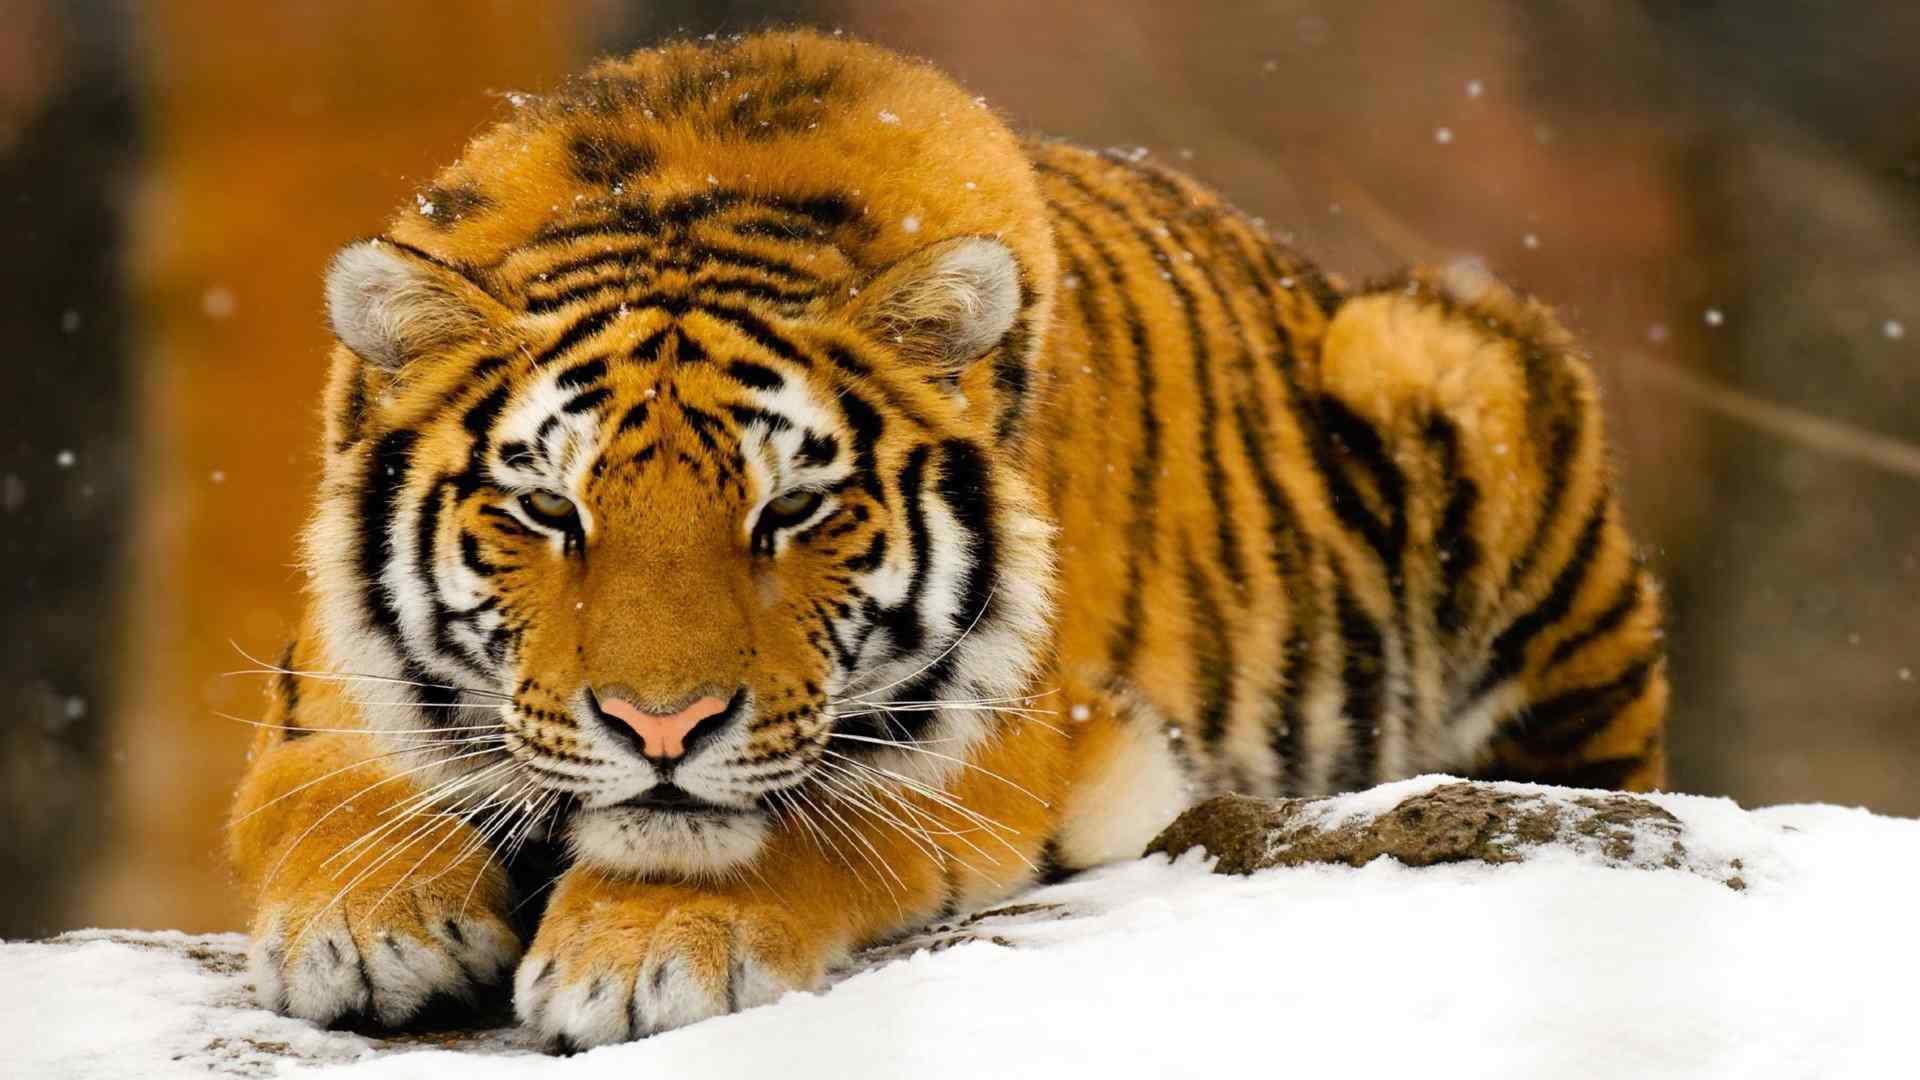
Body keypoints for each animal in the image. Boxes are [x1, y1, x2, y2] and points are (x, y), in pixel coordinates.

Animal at [227, 30, 1667, 1048]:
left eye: (792, 509)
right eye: (548, 509)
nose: (660, 727)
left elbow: (805, 818)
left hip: (1446, 358)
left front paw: (643, 953)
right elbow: (327, 799)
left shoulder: (990, 738)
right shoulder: (327, 692)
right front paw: (366, 928)